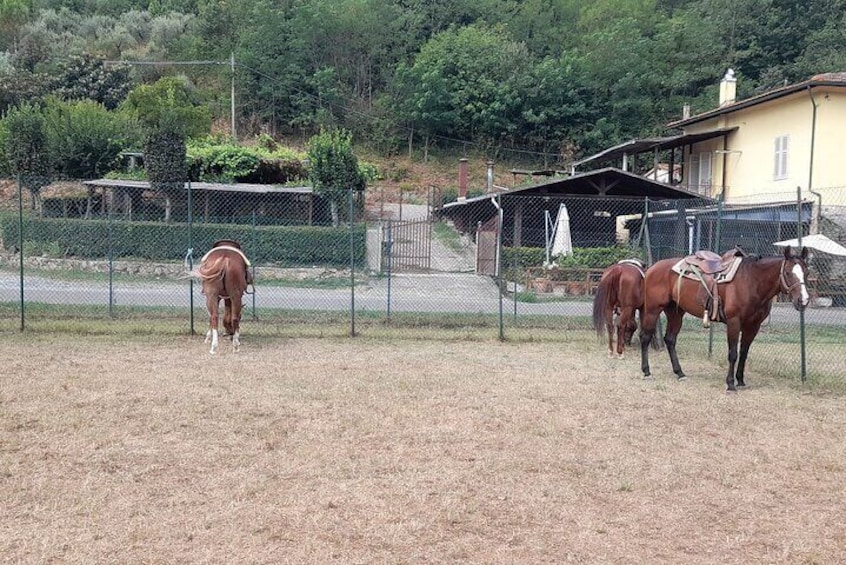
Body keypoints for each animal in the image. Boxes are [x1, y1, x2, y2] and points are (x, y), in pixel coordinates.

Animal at [644, 247, 816, 392]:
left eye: (807, 273)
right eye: (787, 273)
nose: (803, 300)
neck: (751, 281)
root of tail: (652, 268)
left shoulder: (753, 326)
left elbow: (744, 353)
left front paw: (740, 380)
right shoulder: (734, 322)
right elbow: (733, 353)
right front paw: (730, 384)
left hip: (676, 312)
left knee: (670, 339)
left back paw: (680, 373)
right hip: (653, 310)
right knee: (645, 337)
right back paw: (646, 372)